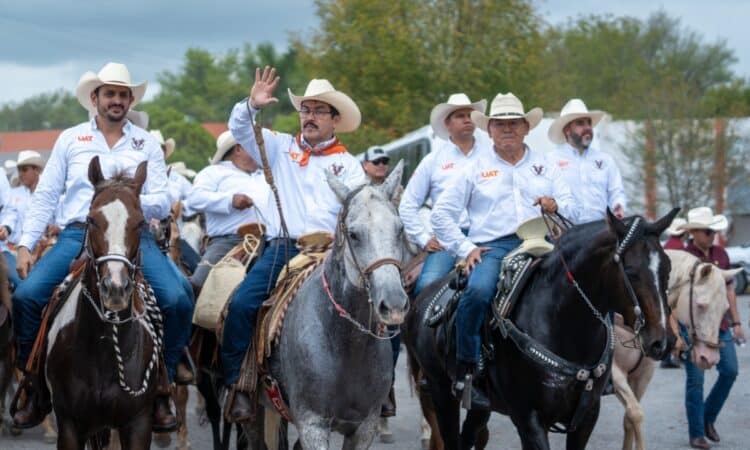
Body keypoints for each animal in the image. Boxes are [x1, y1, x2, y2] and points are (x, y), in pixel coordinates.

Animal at [44, 158, 162, 450]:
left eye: (140, 223)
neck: (105, 348)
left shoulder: (138, 423)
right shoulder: (70, 424)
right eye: (91, 220)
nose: (115, 288)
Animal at [250, 160, 408, 448]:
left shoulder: (364, 428)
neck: (346, 343)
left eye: (400, 229)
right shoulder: (312, 424)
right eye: (354, 234)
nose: (393, 304)